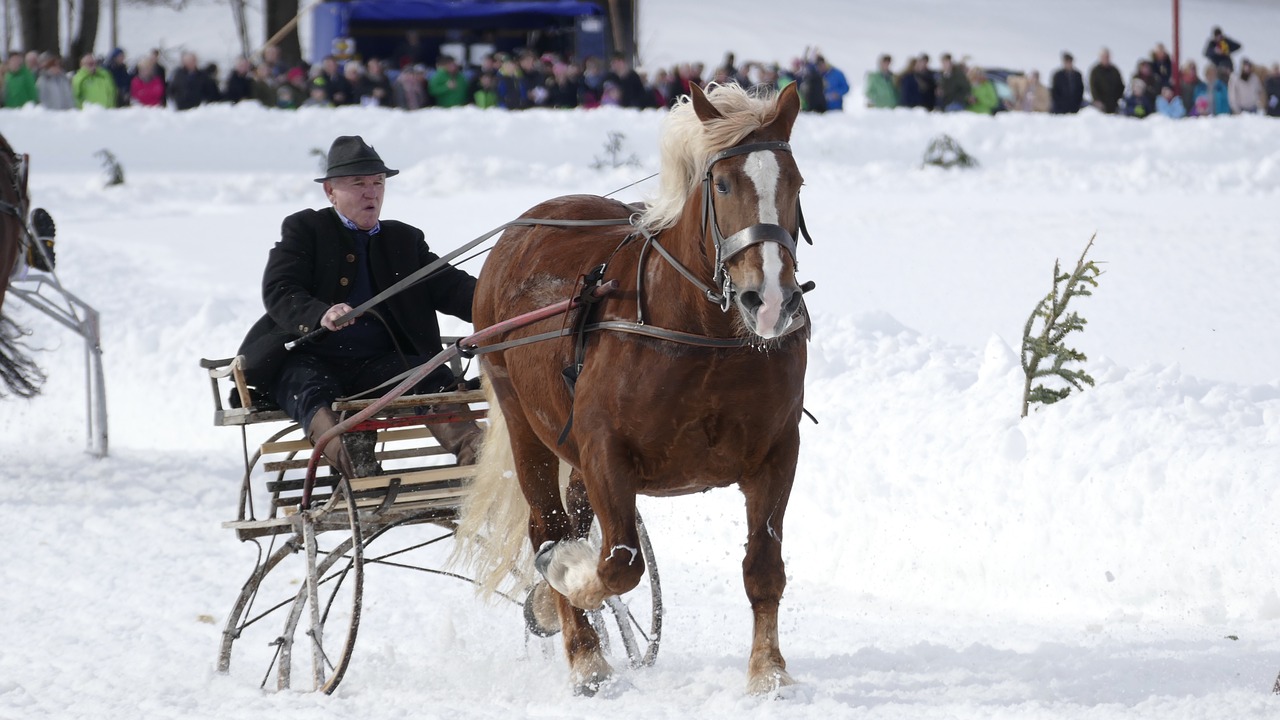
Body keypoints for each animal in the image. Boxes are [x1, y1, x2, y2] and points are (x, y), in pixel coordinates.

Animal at [455, 81, 803, 691]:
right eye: (722, 183)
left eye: (796, 182)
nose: (771, 301)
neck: (701, 333)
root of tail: (527, 223)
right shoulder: (605, 453)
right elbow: (618, 564)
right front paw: (566, 579)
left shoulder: (778, 453)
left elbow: (764, 567)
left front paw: (769, 673)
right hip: (523, 418)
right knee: (547, 525)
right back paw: (583, 652)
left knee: (571, 518)